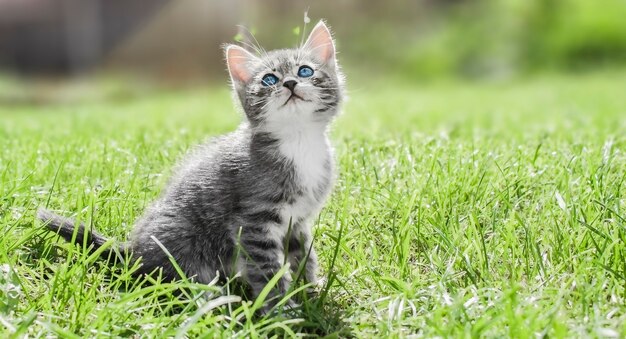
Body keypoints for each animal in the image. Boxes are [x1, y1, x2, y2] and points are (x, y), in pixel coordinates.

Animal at [36, 19, 344, 310]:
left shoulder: (297, 220)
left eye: (305, 71)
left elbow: (302, 254)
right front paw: (283, 310)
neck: (298, 140)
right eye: (269, 79)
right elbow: (266, 269)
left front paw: (310, 290)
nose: (289, 83)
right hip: (183, 243)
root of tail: (133, 251)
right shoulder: (253, 222)